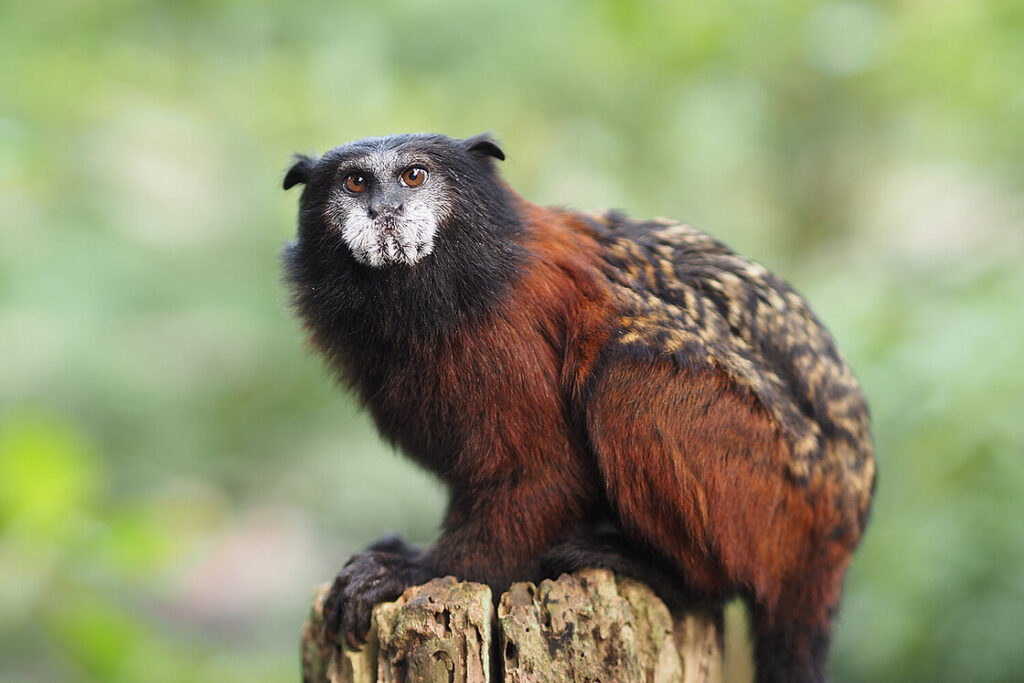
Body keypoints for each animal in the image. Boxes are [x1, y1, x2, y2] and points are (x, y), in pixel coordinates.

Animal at [284, 131, 876, 679]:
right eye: (355, 183)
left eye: (413, 177)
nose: (385, 209)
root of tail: (840, 527)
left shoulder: (509, 341)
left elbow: (545, 471)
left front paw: (416, 570)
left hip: (772, 499)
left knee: (626, 374)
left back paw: (668, 575)